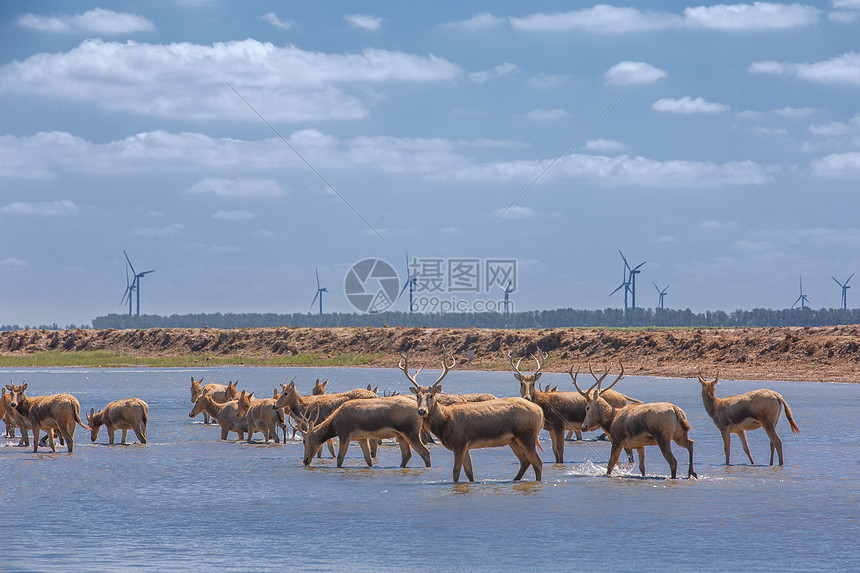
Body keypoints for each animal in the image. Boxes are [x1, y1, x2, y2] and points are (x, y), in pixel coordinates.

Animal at [298, 394, 432, 468]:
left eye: (304, 441)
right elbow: (368, 459)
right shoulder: (361, 438)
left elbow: (340, 458)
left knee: (425, 452)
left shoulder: (344, 434)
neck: (333, 424)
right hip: (400, 435)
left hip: (411, 432)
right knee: (407, 455)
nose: (305, 460)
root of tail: (420, 411)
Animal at [402, 351, 544, 483]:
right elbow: (469, 473)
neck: (445, 423)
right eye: (417, 396)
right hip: (513, 440)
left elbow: (456, 473)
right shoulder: (465, 446)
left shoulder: (459, 442)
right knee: (525, 461)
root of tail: (540, 411)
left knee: (537, 462)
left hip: (527, 435)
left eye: (431, 395)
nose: (422, 411)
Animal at [510, 350, 638, 463]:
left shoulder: (559, 425)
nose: (527, 397)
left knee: (628, 450)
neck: (545, 407)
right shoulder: (551, 428)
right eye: (521, 383)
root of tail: (623, 398)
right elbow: (555, 452)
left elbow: (560, 451)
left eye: (533, 383)